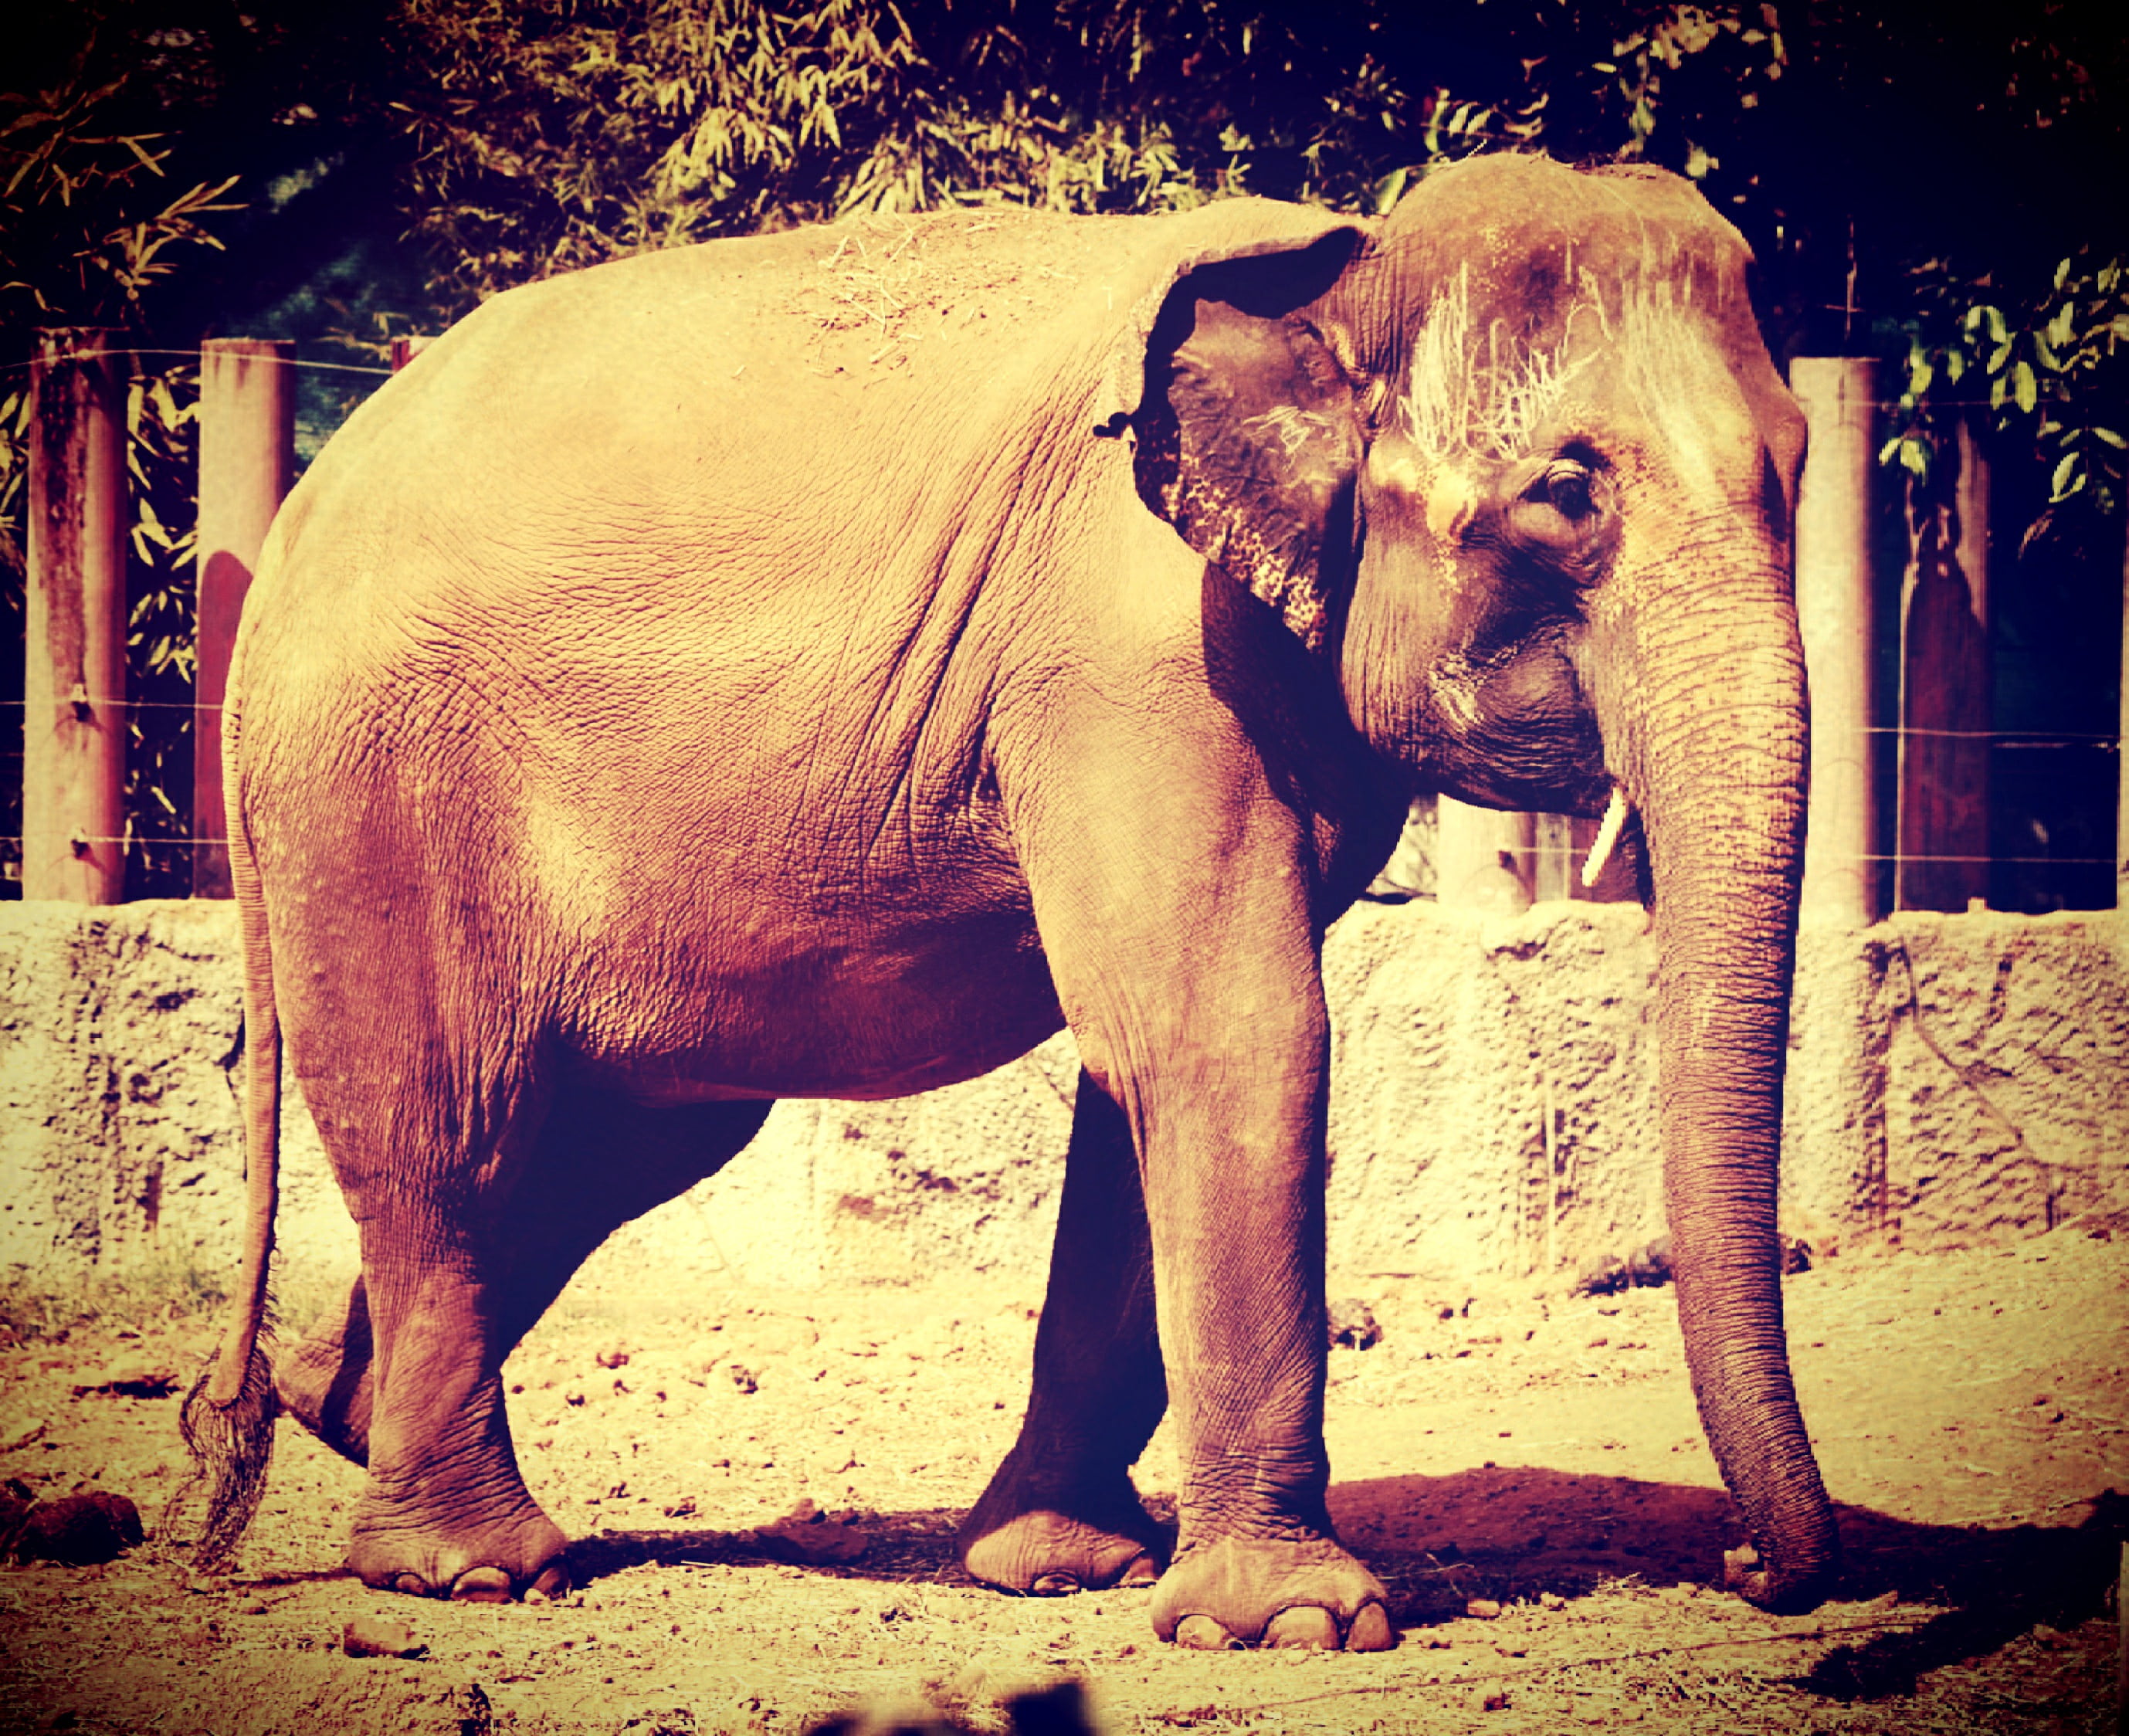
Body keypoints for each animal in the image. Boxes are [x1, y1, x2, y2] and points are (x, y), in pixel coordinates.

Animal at [180, 150, 1838, 1653]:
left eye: (1800, 460)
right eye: (1565, 493)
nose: (1754, 1569)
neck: (1343, 264)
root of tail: (296, 521)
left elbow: (1147, 1061)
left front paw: (1061, 1567)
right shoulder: (1134, 655)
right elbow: (1233, 1033)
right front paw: (1294, 1622)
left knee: (619, 1139)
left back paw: (330, 1410)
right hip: (373, 787)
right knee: (443, 1115)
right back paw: (467, 1570)